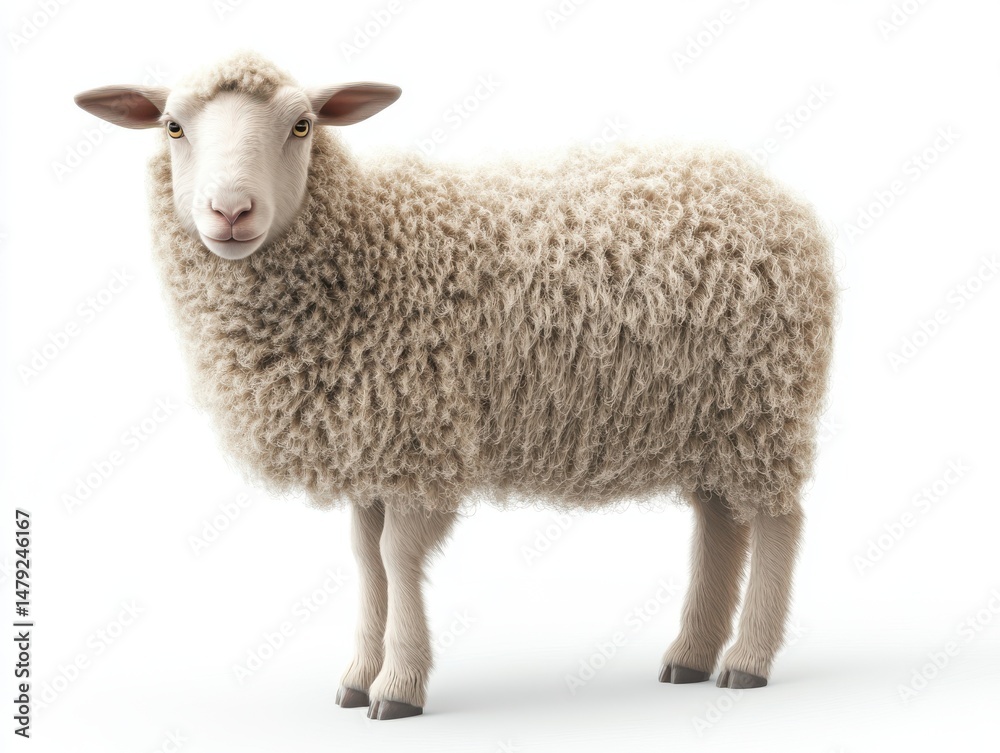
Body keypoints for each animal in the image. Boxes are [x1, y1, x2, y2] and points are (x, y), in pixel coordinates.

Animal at [75, 51, 836, 720]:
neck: (369, 251)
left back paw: (747, 660)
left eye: (303, 125)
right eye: (172, 126)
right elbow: (367, 562)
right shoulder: (373, 445)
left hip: (766, 404)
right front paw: (357, 677)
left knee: (778, 521)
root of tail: (771, 193)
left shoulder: (423, 439)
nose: (230, 211)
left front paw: (398, 687)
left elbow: (396, 558)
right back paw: (691, 654)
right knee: (719, 525)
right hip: (712, 415)